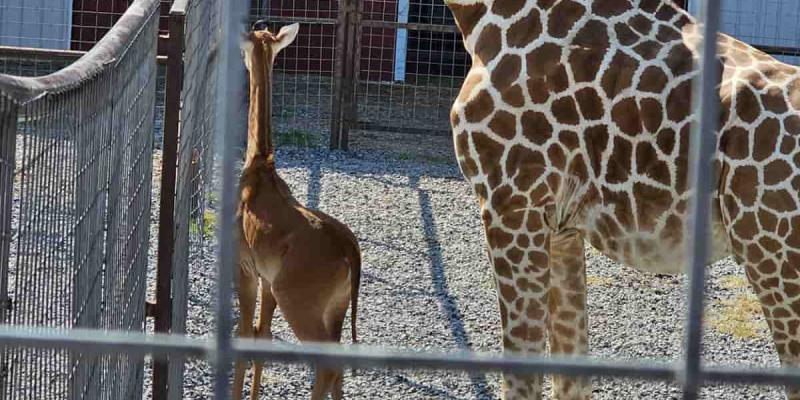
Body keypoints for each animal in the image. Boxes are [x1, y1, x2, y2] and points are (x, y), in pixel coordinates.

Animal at [233, 22, 360, 400]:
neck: (258, 167)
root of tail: (350, 252)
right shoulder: (267, 279)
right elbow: (262, 334)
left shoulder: (244, 267)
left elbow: (244, 334)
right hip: (336, 305)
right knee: (339, 364)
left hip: (299, 301)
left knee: (327, 363)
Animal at [446, 0, 800, 400]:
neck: (489, 17)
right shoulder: (561, 226)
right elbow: (571, 373)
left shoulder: (512, 203)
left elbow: (523, 374)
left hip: (774, 259)